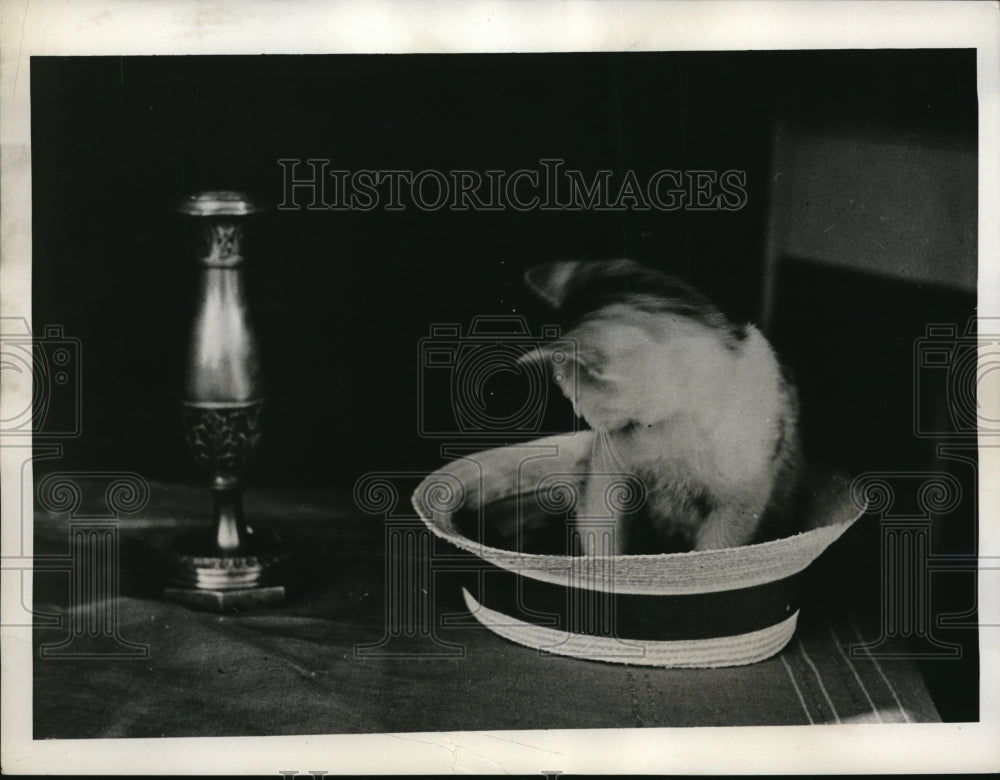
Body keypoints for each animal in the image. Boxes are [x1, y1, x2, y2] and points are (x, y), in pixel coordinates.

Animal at [520, 260, 800, 556]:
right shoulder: (609, 466)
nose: (578, 412)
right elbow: (603, 522)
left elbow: (717, 545)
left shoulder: (743, 498)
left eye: (574, 394)